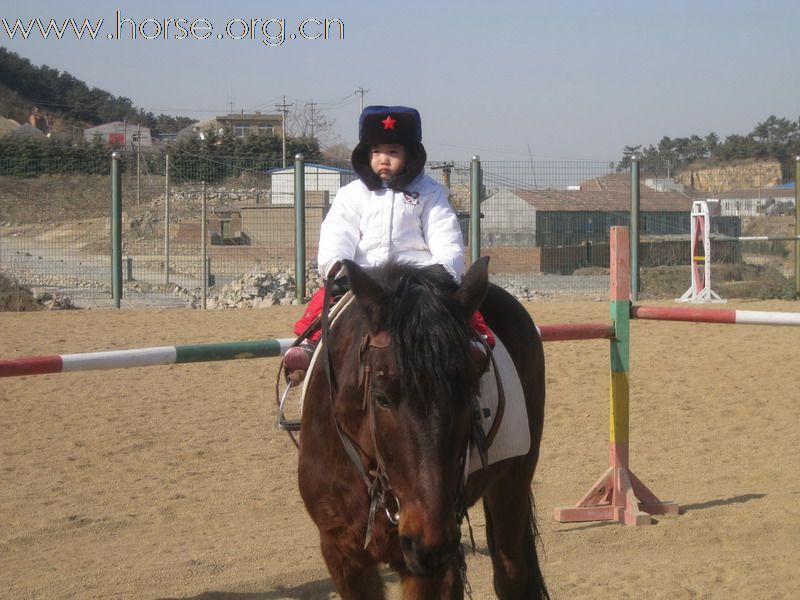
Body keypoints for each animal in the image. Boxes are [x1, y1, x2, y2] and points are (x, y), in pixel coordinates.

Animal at [296, 258, 548, 600]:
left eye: (470, 393)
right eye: (381, 398)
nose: (429, 545)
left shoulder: (429, 562)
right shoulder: (342, 552)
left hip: (513, 481)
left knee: (512, 575)